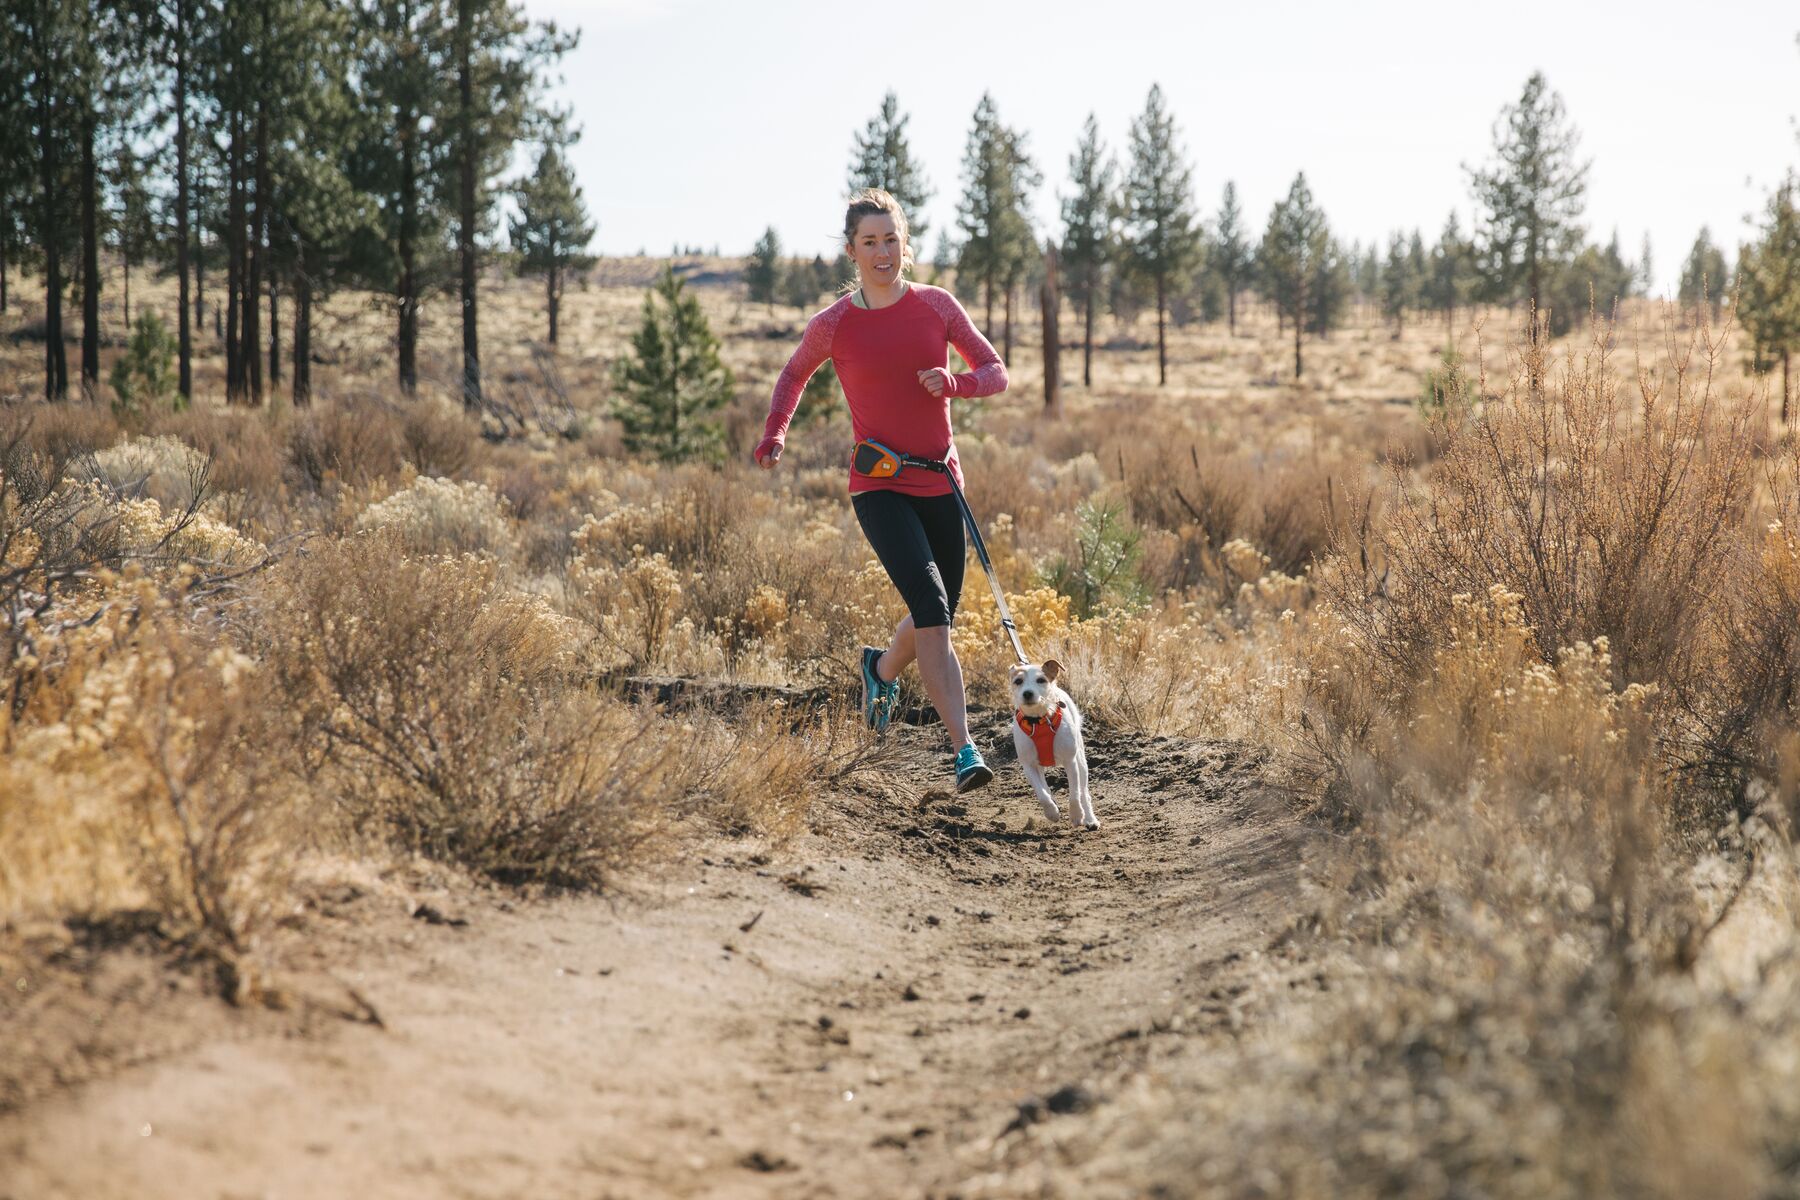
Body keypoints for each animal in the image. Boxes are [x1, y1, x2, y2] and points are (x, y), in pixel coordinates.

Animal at [1015, 662, 1094, 831]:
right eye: (1018, 681)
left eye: (1041, 680)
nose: (1027, 693)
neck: (1039, 720)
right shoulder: (1028, 765)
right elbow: (1042, 794)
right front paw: (1052, 812)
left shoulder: (1070, 761)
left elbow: (1074, 794)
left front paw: (1077, 816)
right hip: (1039, 766)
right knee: (1045, 786)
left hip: (1081, 761)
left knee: (1084, 792)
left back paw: (1090, 819)